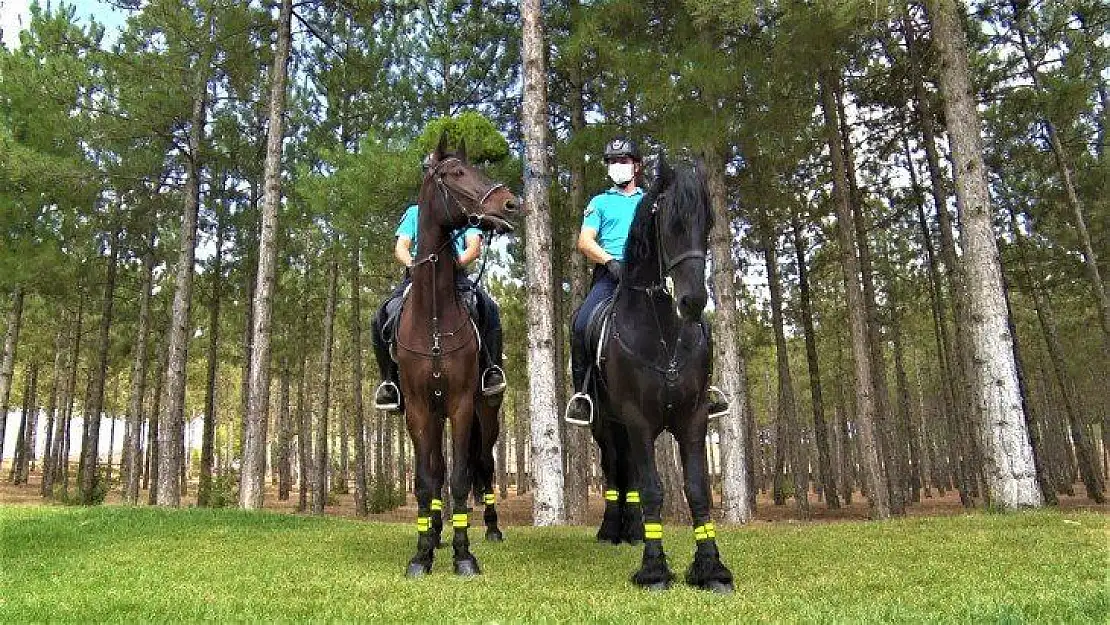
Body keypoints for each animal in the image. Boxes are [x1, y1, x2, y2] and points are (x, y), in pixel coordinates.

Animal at [397, 134, 517, 581]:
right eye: (456, 174)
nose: (511, 204)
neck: (433, 316)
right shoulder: (419, 409)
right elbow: (426, 481)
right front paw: (422, 553)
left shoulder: (463, 404)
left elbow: (462, 479)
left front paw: (464, 555)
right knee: (436, 470)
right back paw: (434, 532)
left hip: (488, 415)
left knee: (484, 466)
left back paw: (492, 529)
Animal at [581, 156, 737, 590]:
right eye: (670, 223)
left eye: (708, 222)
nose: (693, 301)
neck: (664, 334)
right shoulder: (638, 418)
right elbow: (652, 489)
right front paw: (653, 569)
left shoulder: (693, 416)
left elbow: (698, 490)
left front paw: (711, 568)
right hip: (606, 424)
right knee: (613, 470)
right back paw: (611, 530)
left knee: (628, 473)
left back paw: (632, 530)